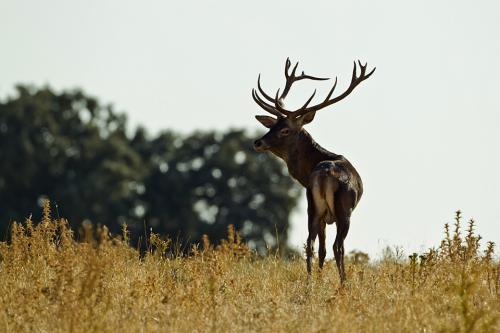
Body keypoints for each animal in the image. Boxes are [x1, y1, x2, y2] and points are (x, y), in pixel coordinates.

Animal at [252, 58, 374, 282]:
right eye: (273, 126)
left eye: (284, 129)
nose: (258, 142)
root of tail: (325, 174)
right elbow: (330, 248)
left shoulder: (322, 214)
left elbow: (321, 249)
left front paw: (318, 278)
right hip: (344, 210)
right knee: (338, 246)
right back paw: (343, 283)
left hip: (312, 205)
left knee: (310, 244)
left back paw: (309, 282)